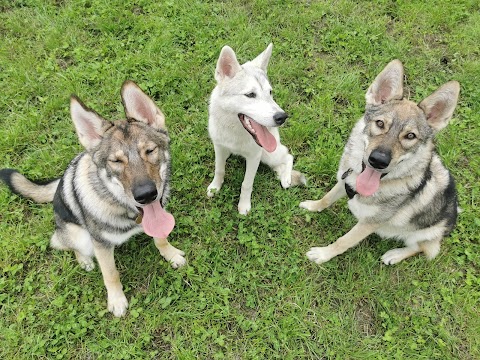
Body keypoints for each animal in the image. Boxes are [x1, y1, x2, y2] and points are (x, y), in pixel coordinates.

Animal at [205, 44, 304, 215]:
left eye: (270, 92)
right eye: (250, 95)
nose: (282, 117)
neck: (236, 133)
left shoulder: (254, 157)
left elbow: (246, 184)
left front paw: (244, 206)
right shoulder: (219, 147)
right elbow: (219, 170)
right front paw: (215, 187)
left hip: (269, 155)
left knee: (288, 155)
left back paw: (286, 178)